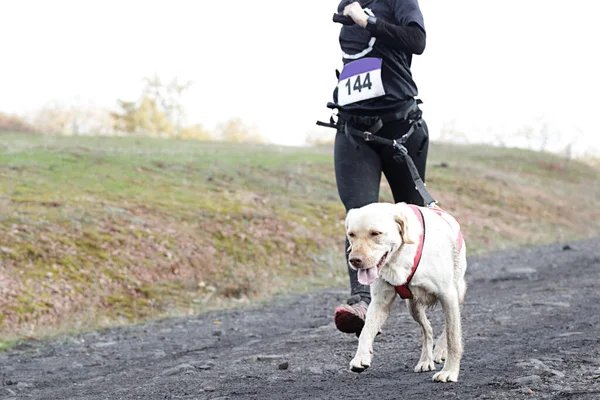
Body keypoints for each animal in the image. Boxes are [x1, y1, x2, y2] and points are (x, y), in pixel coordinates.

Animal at [344, 202, 466, 382]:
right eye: (351, 234)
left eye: (376, 233)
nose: (354, 260)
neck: (398, 258)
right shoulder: (379, 302)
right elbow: (366, 330)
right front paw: (361, 357)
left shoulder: (448, 295)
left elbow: (453, 337)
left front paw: (450, 371)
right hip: (413, 306)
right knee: (427, 330)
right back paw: (425, 360)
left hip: (457, 294)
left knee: (449, 327)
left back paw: (440, 350)